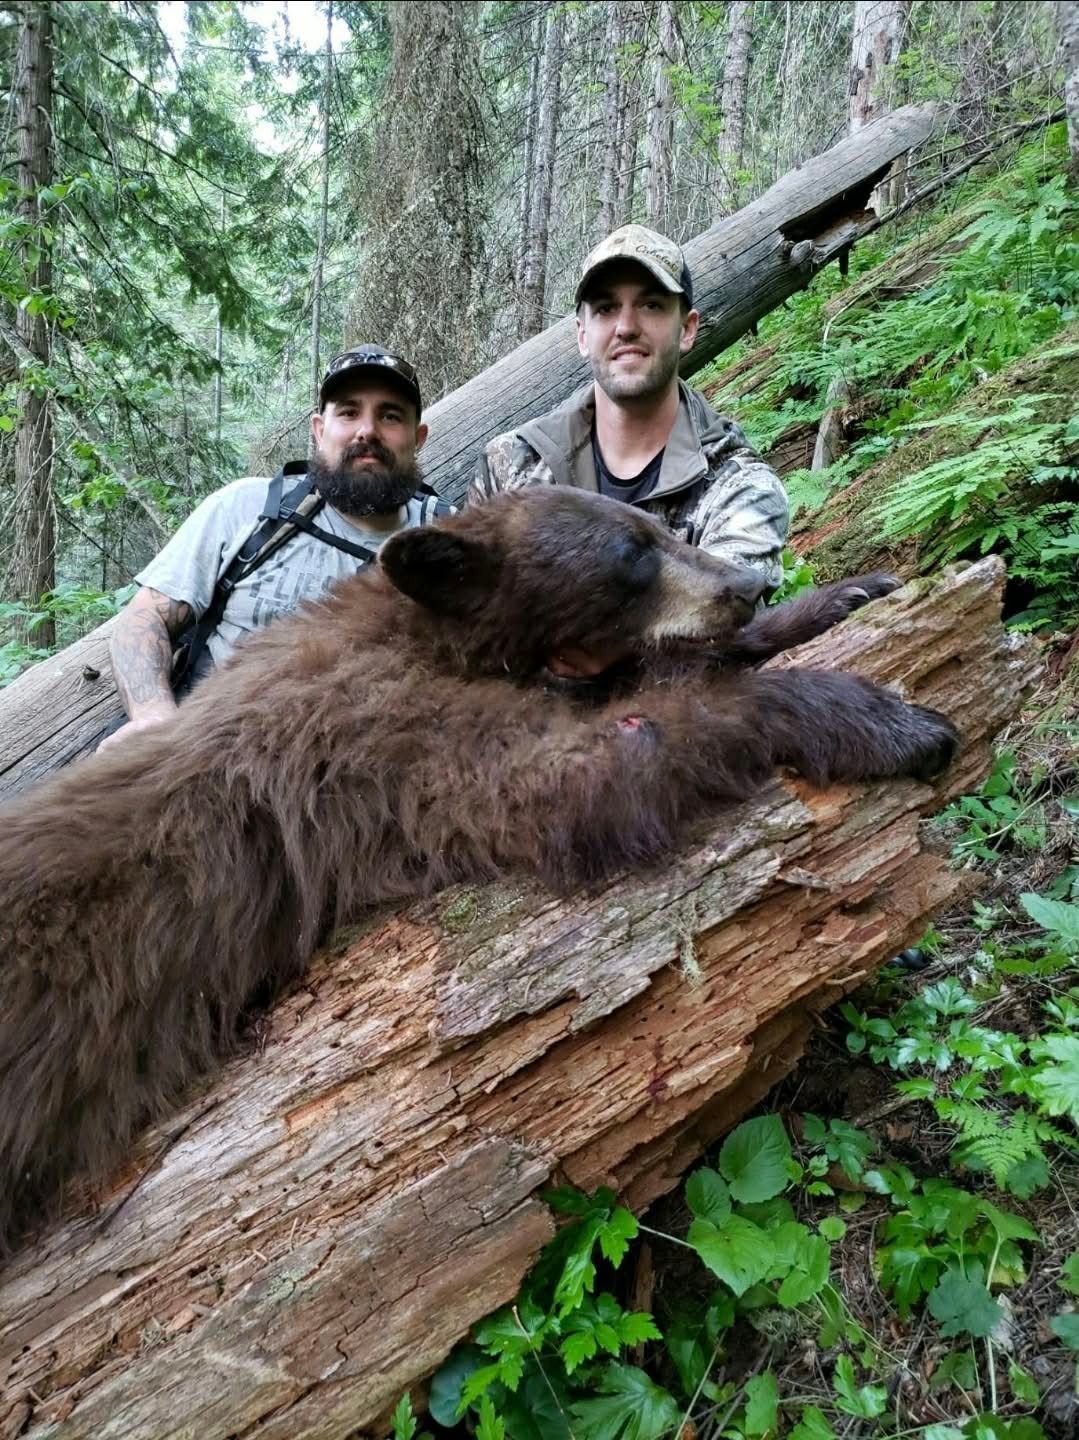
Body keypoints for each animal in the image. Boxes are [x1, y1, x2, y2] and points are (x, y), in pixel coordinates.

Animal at [0, 487, 958, 1252]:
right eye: (631, 554)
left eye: (655, 525)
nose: (743, 584)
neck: (429, 632)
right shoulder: (377, 738)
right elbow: (573, 773)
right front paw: (880, 717)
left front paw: (839, 596)